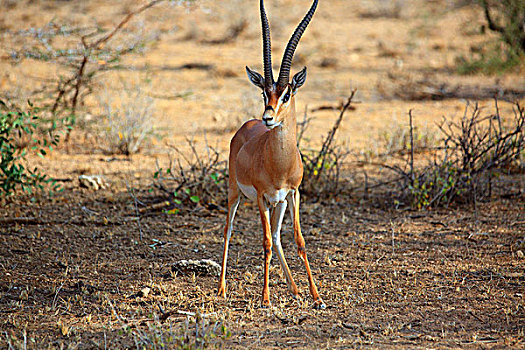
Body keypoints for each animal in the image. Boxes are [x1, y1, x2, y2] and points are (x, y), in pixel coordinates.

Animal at [216, 0, 324, 308]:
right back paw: (222, 289)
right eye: (264, 92)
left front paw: (316, 297)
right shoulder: (262, 198)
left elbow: (298, 240)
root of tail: (246, 126)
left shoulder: (293, 194)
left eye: (286, 94)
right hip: (235, 194)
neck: (279, 165)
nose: (268, 117)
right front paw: (265, 298)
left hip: (280, 204)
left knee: (277, 236)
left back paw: (295, 290)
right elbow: (263, 242)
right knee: (228, 230)